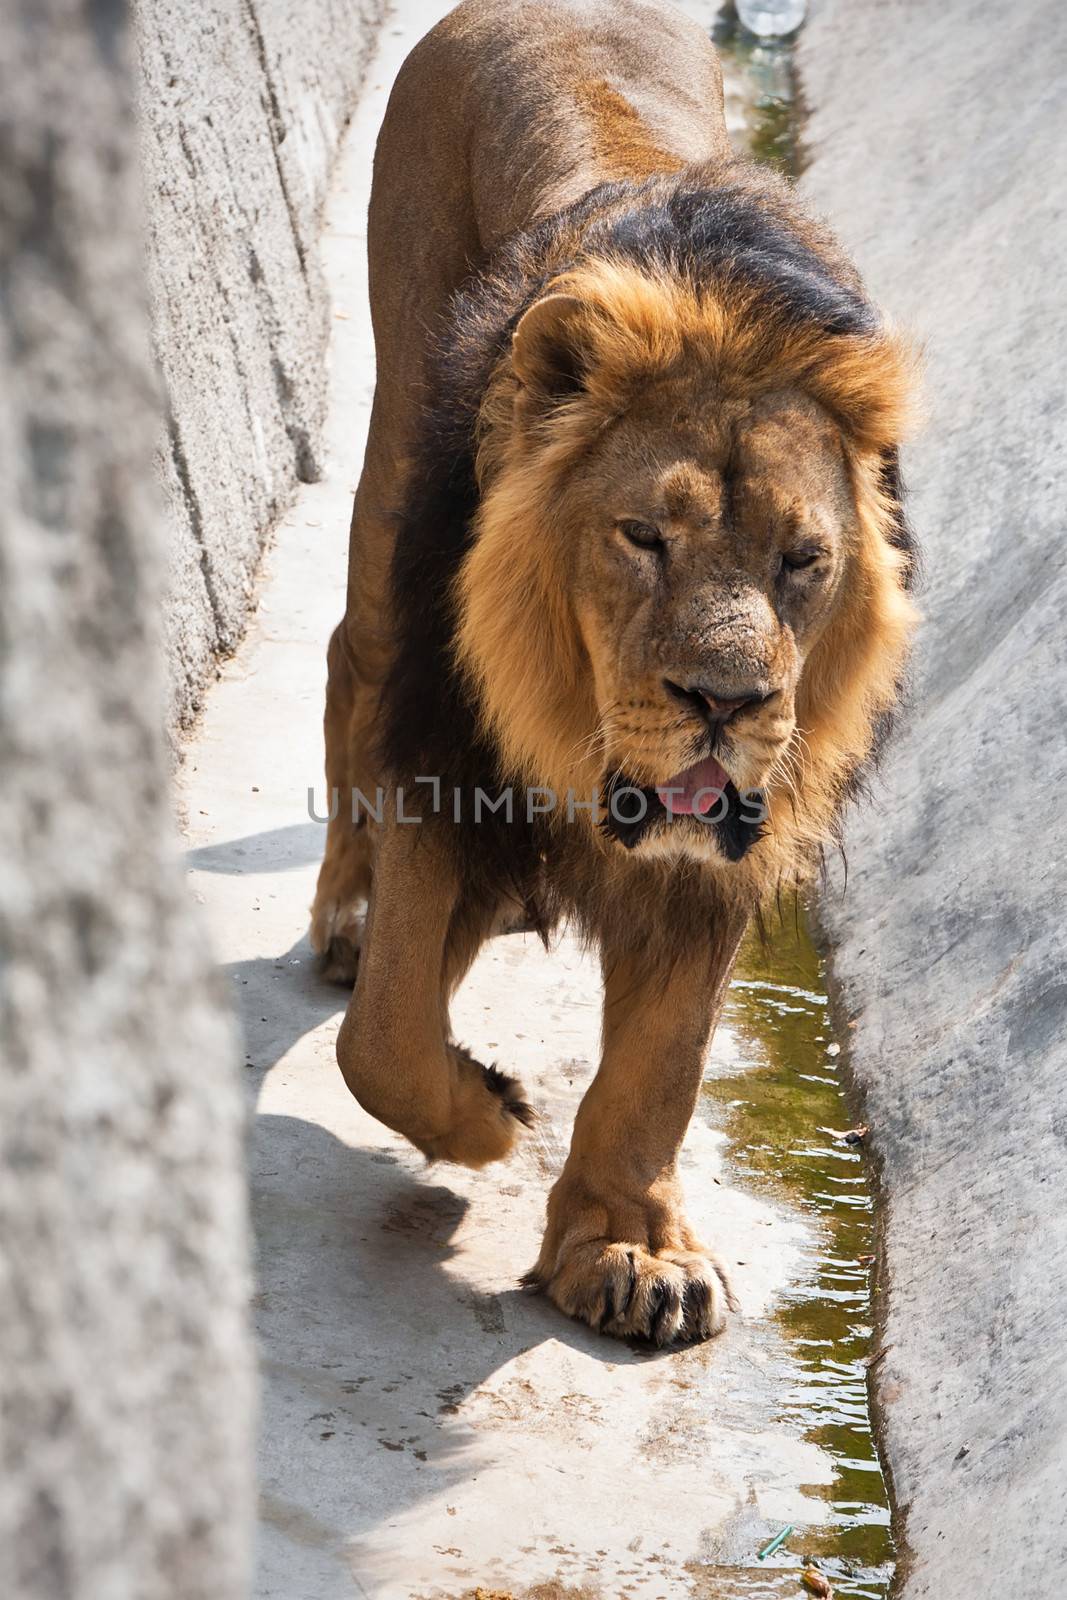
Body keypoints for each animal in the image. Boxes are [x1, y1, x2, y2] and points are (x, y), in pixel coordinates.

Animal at [308, 0, 921, 1350]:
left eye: (802, 560)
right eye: (643, 537)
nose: (727, 704)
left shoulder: (722, 851)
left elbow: (659, 1064)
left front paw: (627, 1248)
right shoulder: (445, 745)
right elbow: (383, 1039)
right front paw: (486, 1114)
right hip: (390, 452)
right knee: (345, 663)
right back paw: (345, 917)